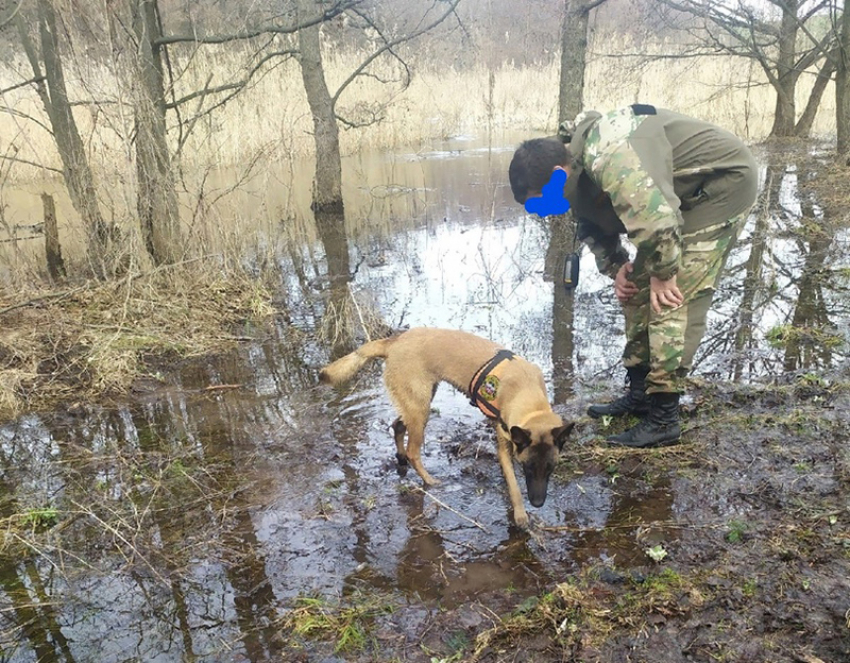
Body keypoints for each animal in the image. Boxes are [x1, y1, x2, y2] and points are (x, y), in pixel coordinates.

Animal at [320, 328, 576, 528]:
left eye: (551, 468)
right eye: (528, 468)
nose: (538, 503)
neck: (528, 396)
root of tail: (394, 341)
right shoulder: (504, 444)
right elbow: (513, 485)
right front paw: (521, 515)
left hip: (418, 403)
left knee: (397, 426)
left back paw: (400, 459)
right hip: (421, 409)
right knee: (413, 450)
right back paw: (429, 480)